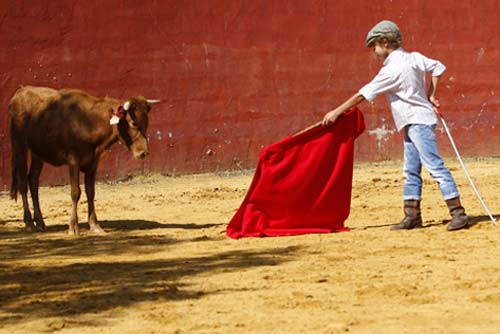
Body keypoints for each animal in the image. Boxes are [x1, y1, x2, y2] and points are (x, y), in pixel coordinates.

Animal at [9, 86, 158, 237]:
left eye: (146, 123)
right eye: (133, 123)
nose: (143, 153)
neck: (90, 122)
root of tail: (21, 90)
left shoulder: (93, 163)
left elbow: (90, 192)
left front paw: (95, 225)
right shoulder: (73, 160)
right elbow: (76, 192)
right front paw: (73, 227)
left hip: (38, 153)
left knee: (33, 180)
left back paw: (39, 222)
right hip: (19, 145)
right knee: (23, 182)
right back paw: (29, 223)